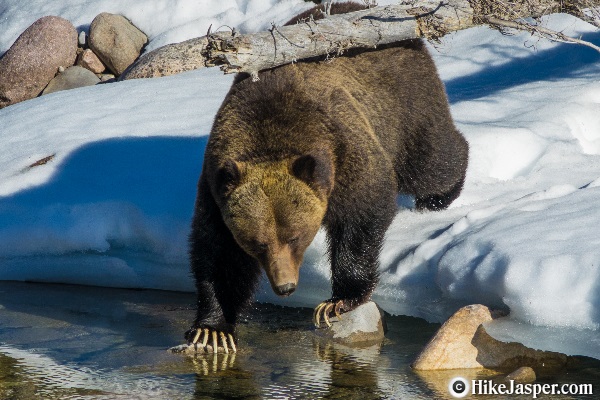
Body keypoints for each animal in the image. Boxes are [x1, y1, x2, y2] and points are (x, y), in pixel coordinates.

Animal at [185, 3, 466, 354]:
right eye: (257, 242)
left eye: (295, 236)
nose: (286, 286)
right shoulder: (216, 188)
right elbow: (218, 253)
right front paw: (211, 328)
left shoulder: (344, 152)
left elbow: (363, 214)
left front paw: (337, 301)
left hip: (404, 104)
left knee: (430, 161)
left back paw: (441, 194)